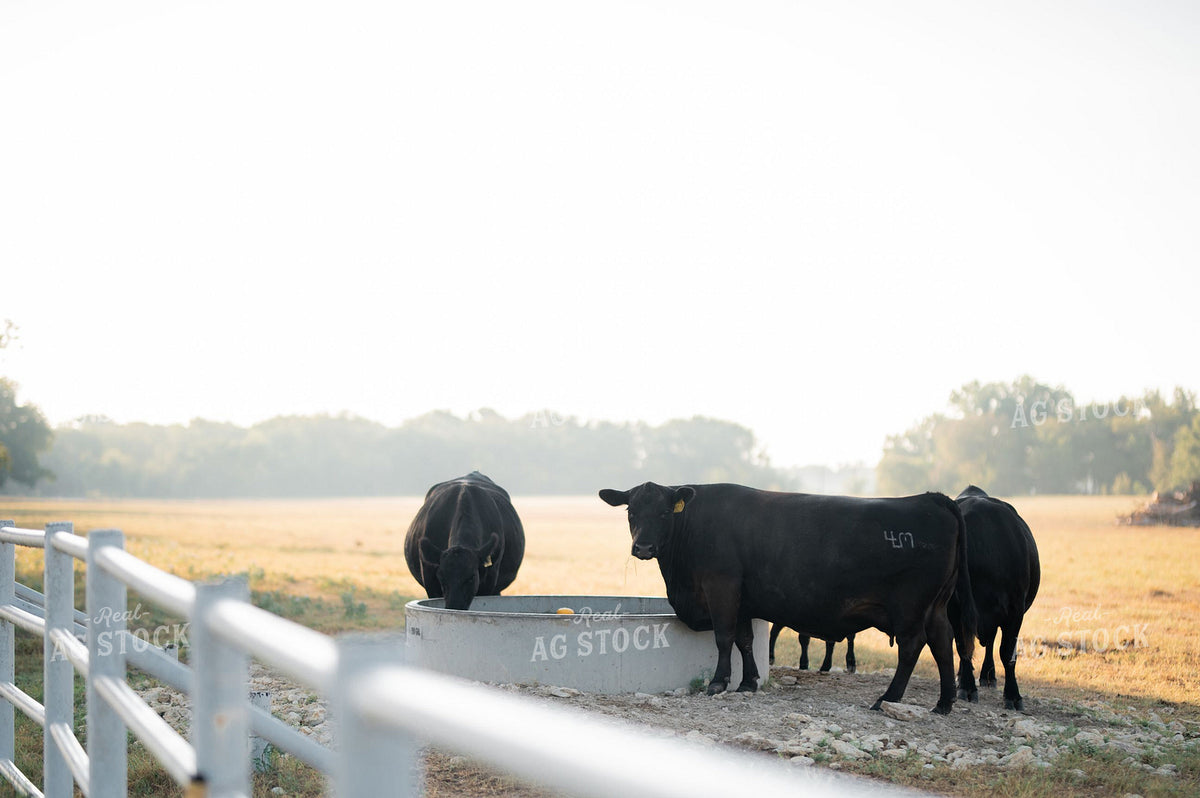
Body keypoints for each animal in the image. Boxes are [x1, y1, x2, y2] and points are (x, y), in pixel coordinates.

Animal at [599, 482, 976, 714]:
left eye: (665, 513)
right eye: (631, 512)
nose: (643, 547)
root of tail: (930, 497)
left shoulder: (721, 586)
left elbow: (724, 637)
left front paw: (719, 682)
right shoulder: (743, 598)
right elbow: (745, 640)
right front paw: (748, 683)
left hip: (910, 607)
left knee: (913, 646)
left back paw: (888, 698)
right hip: (937, 606)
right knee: (943, 642)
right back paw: (944, 704)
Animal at [951, 485, 1041, 710]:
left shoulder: (1015, 610)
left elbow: (1007, 652)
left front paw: (1013, 696)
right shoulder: (955, 609)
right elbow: (963, 646)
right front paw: (966, 687)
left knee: (991, 642)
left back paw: (987, 676)